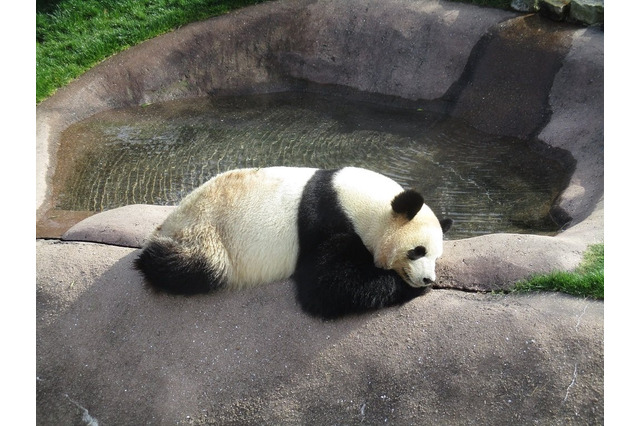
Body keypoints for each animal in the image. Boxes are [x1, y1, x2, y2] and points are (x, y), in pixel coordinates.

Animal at [136, 168, 452, 318]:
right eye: (417, 251)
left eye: (437, 256)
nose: (428, 278)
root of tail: (167, 224)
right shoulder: (326, 220)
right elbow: (328, 286)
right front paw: (407, 288)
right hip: (204, 233)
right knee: (192, 267)